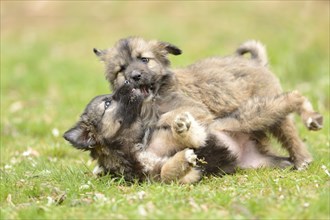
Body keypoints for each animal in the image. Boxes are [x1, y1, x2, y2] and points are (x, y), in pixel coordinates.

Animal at [94, 37, 324, 169]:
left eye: (144, 59)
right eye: (121, 69)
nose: (135, 76)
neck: (153, 99)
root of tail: (256, 63)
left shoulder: (198, 110)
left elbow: (167, 117)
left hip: (269, 108)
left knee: (289, 131)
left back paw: (302, 156)